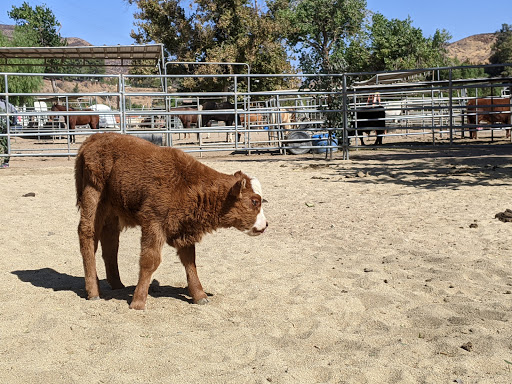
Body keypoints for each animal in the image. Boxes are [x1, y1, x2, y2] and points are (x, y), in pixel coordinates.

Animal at [77, 132, 268, 308]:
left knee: (110, 243)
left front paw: (200, 295)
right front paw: (138, 302)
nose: (265, 225)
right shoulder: (153, 224)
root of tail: (93, 138)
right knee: (88, 236)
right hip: (93, 197)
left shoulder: (184, 229)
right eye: (254, 201)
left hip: (112, 212)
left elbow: (190, 261)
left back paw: (117, 284)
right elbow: (150, 260)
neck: (185, 182)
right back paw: (93, 291)